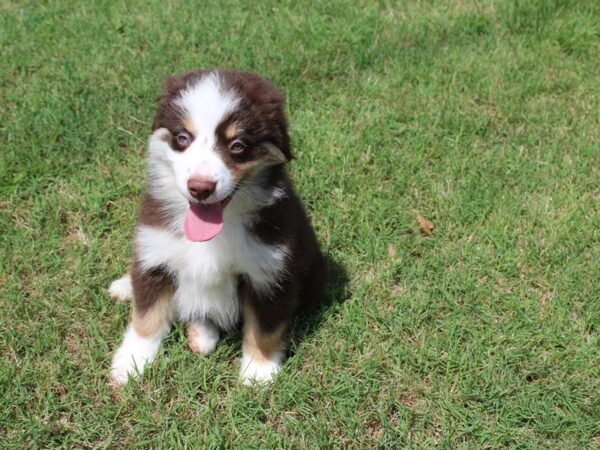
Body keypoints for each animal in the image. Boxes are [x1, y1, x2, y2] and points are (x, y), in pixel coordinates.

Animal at [106, 68, 326, 384]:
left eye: (238, 146)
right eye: (183, 138)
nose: (200, 188)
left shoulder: (269, 272)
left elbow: (265, 327)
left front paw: (258, 371)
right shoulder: (155, 247)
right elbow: (147, 315)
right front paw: (131, 362)